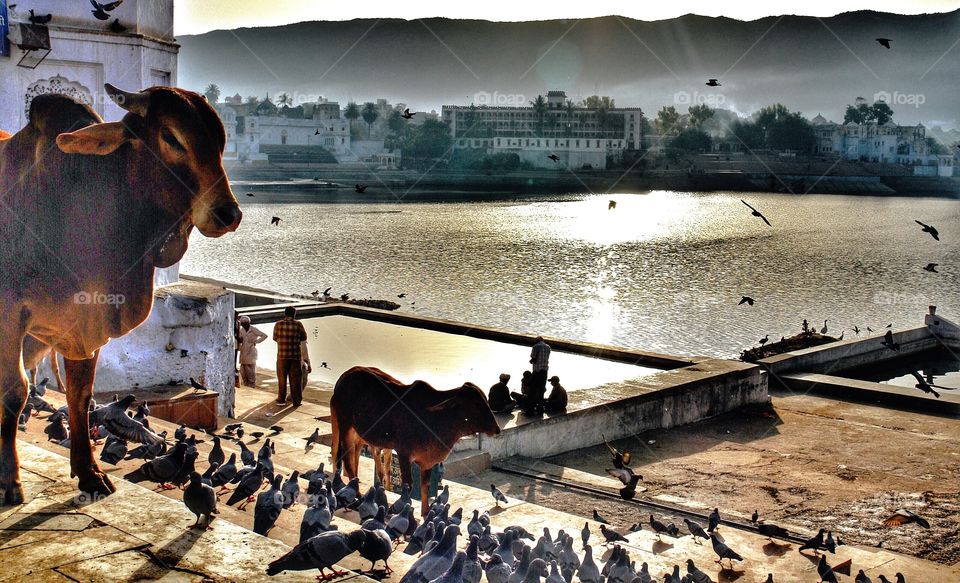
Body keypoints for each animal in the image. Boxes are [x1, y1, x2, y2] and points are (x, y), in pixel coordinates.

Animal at [328, 368, 498, 512]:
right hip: (345, 426)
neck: (436, 417)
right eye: (476, 404)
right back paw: (357, 495)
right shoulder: (403, 453)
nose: (497, 428)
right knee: (346, 460)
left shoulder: (427, 462)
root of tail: (344, 377)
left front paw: (425, 514)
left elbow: (425, 487)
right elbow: (407, 485)